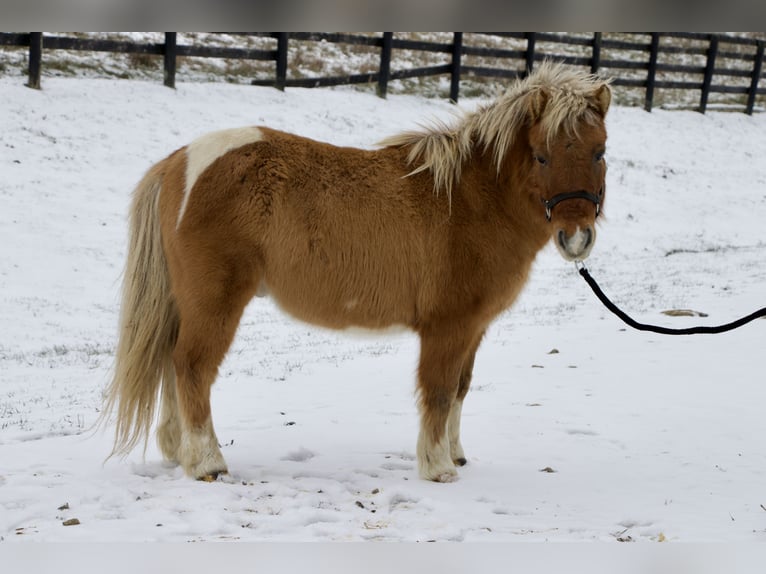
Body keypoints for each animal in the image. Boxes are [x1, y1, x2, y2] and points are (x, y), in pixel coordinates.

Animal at [102, 61, 611, 483]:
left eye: (600, 151)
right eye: (542, 155)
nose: (576, 237)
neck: (468, 198)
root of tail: (180, 160)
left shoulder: (473, 328)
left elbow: (460, 390)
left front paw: (456, 454)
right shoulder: (447, 328)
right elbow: (440, 390)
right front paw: (438, 467)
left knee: (172, 363)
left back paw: (179, 451)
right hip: (215, 301)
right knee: (192, 366)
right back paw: (207, 462)